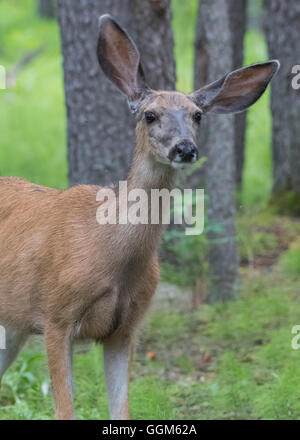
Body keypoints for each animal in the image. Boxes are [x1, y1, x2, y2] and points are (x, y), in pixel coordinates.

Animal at [0, 13, 280, 420]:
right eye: (150, 115)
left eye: (198, 115)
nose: (185, 148)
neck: (111, 253)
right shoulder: (55, 315)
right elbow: (65, 410)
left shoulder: (125, 328)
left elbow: (121, 409)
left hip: (13, 325)